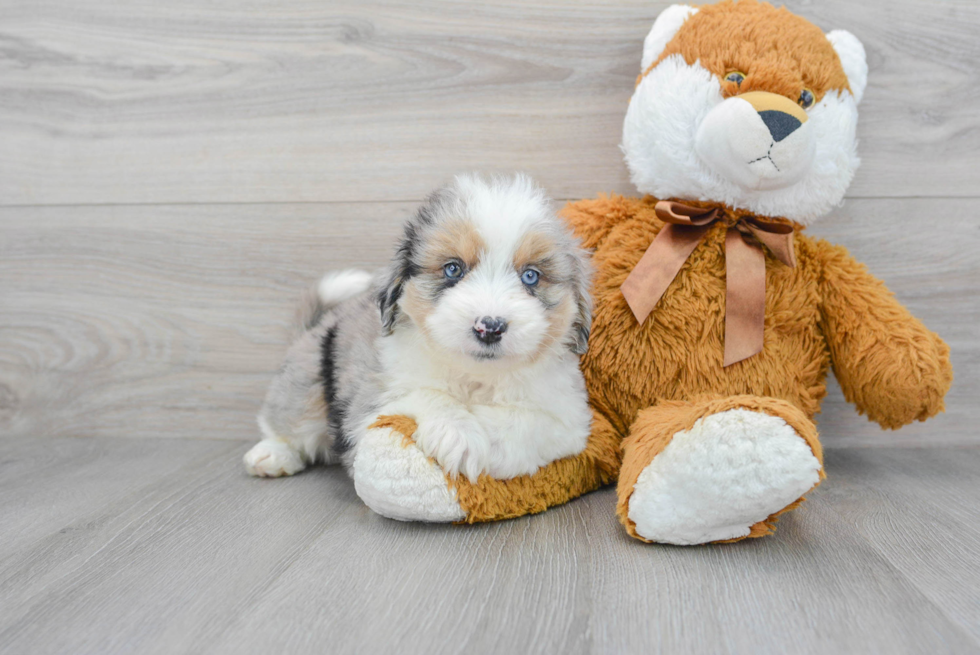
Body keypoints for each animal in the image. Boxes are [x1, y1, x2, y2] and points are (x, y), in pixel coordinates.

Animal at [243, 174, 596, 486]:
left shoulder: (569, 420)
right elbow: (424, 394)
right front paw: (458, 435)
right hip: (307, 379)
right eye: (453, 269)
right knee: (284, 419)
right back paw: (271, 455)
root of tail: (316, 326)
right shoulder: (370, 401)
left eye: (531, 276)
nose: (490, 327)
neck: (475, 377)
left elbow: (523, 422)